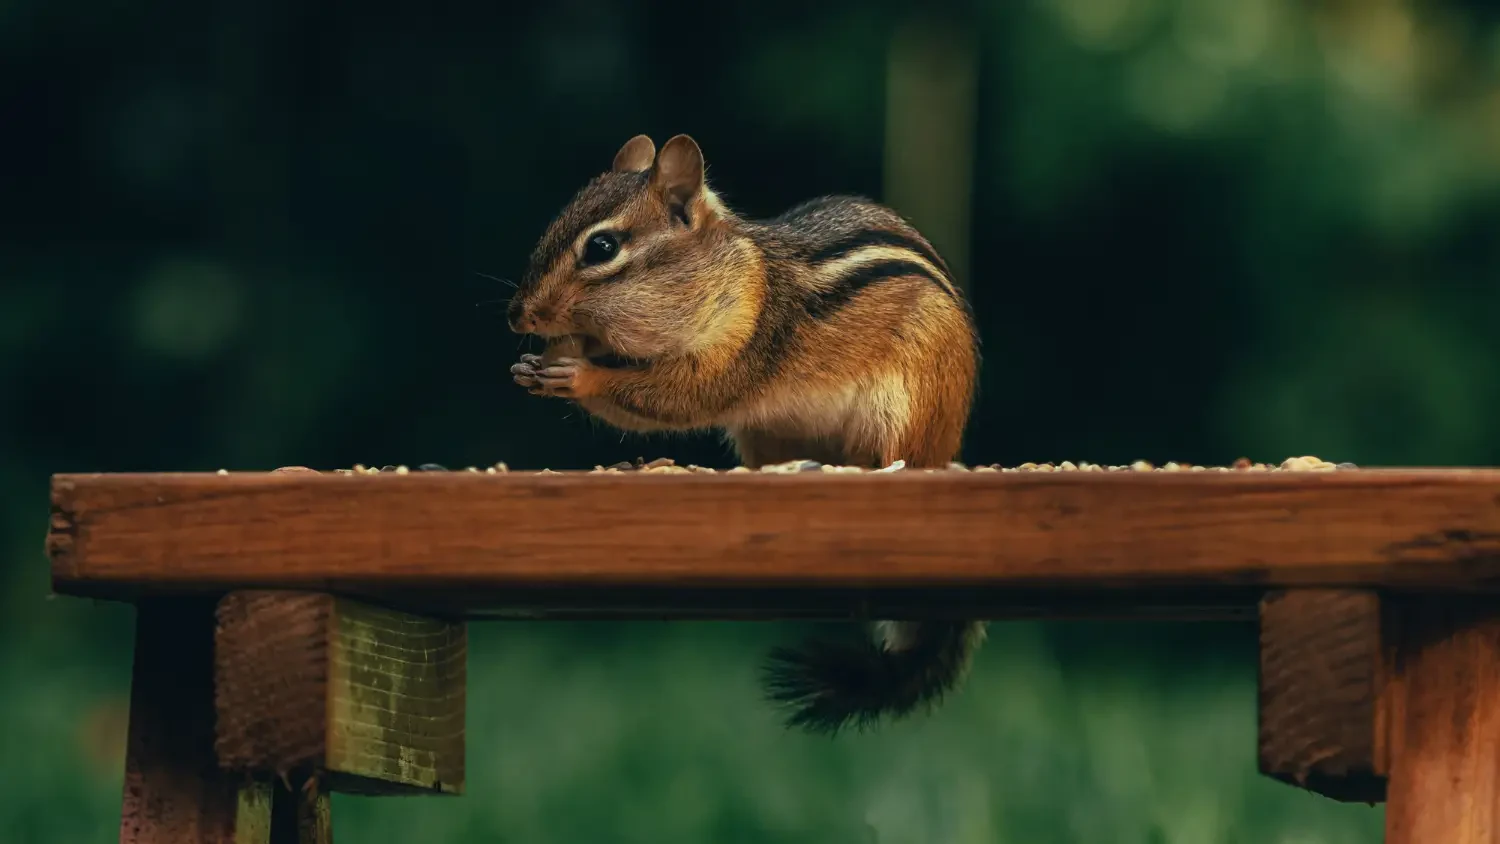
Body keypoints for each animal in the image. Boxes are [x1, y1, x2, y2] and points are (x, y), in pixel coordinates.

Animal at [508, 133, 984, 735]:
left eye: (602, 247)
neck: (726, 276)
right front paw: (530, 367)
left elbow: (681, 397)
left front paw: (578, 375)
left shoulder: (743, 339)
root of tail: (948, 445)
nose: (517, 316)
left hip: (906, 412)